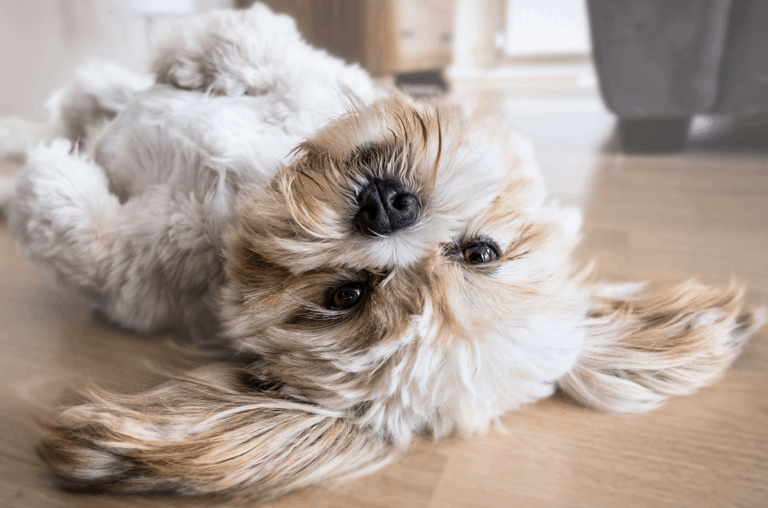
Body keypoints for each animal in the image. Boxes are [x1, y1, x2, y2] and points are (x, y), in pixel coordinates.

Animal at [0, 1, 764, 502]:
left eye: (346, 295)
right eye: (480, 252)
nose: (387, 206)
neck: (247, 192)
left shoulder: (135, 276)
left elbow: (81, 232)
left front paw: (46, 178)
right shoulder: (305, 81)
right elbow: (257, 49)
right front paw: (191, 57)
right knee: (90, 95)